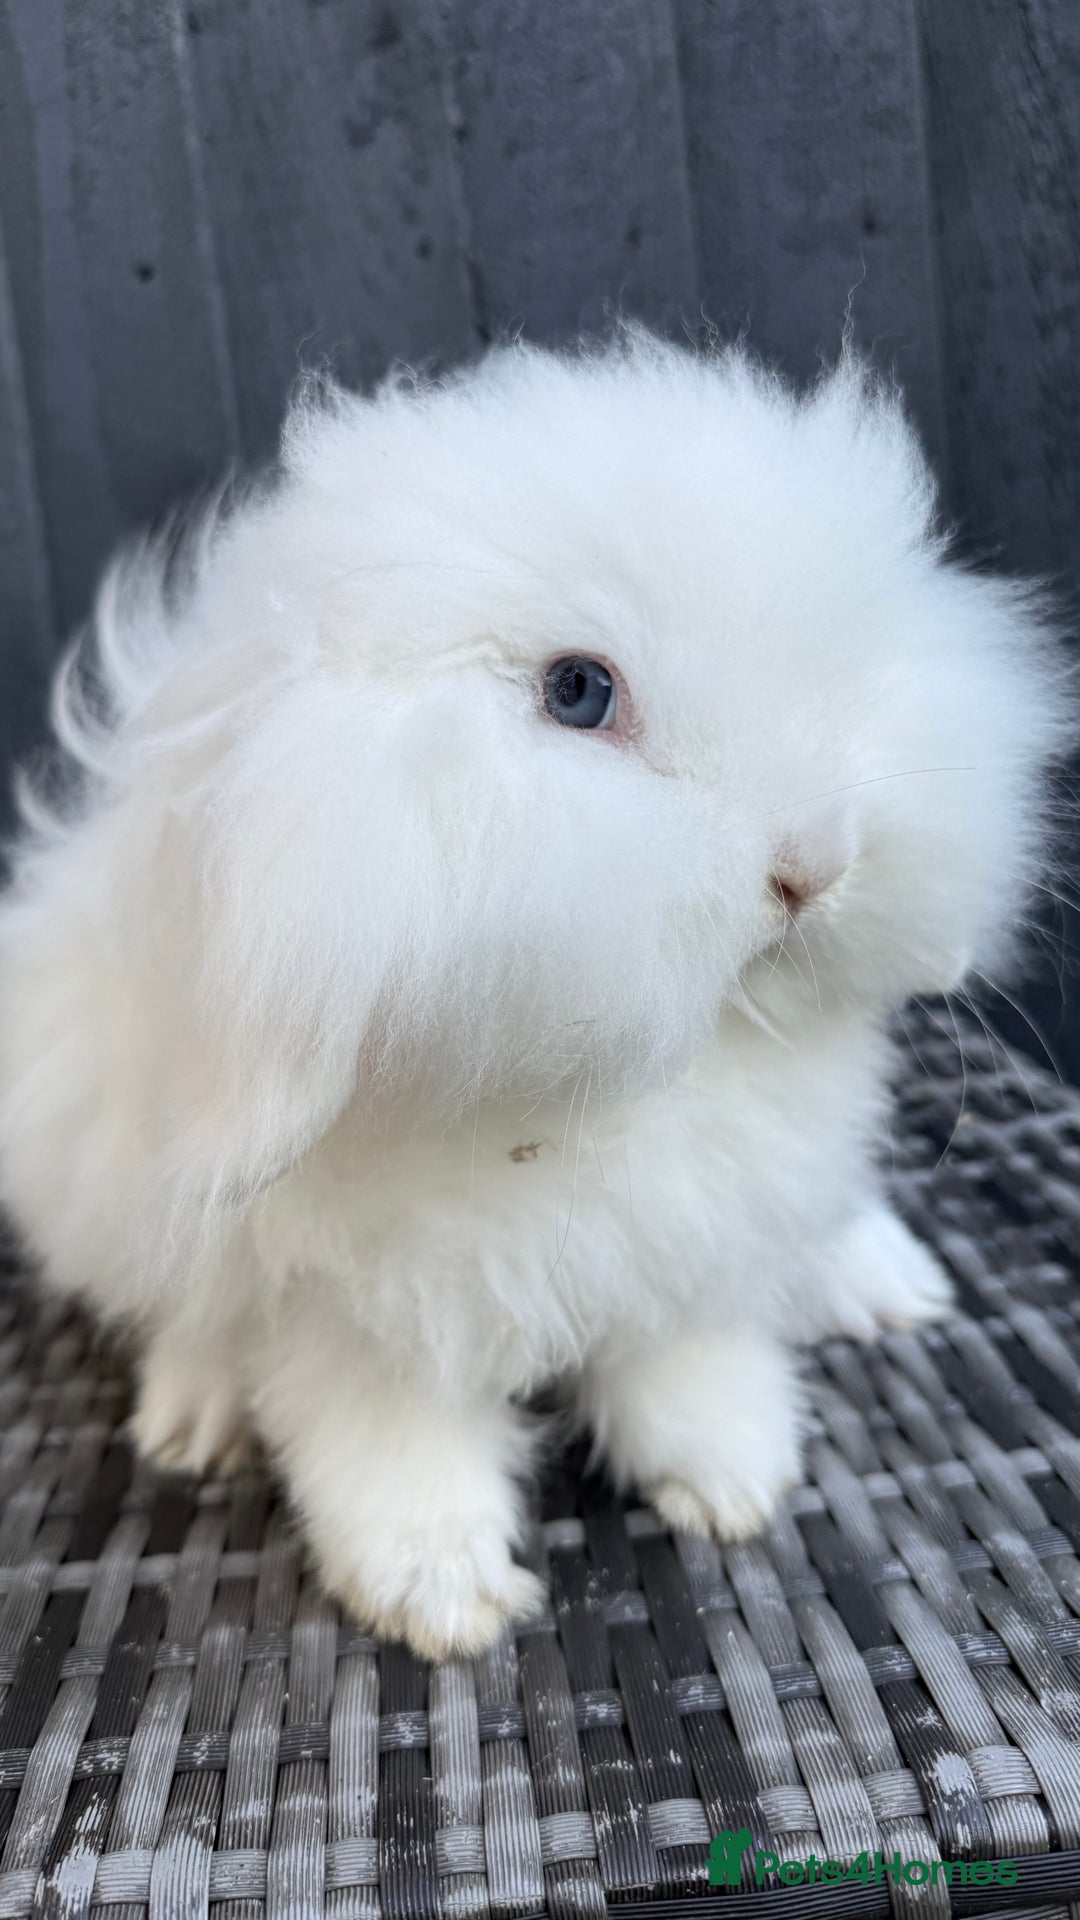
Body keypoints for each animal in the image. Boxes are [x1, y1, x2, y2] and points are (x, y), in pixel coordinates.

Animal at [0, 329, 1068, 1657]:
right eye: (578, 693)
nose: (814, 864)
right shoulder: (357, 1314)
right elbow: (387, 1448)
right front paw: (441, 1598)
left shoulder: (692, 1246)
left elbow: (689, 1359)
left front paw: (733, 1477)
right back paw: (194, 1419)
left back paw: (885, 1283)